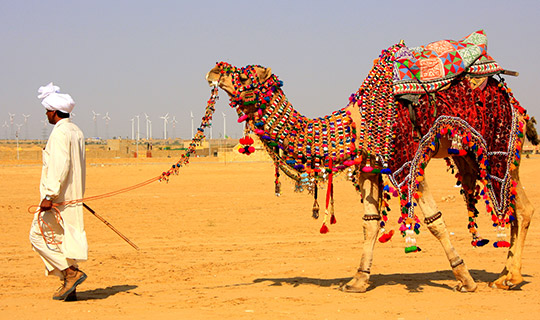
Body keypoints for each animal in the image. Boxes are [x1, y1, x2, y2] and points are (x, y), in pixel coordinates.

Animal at [202, 30, 536, 292]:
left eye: (242, 73)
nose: (213, 70)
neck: (353, 125)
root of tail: (519, 109)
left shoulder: (408, 161)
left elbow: (435, 222)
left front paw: (465, 279)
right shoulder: (369, 169)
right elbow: (370, 224)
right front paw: (358, 281)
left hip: (499, 151)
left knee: (522, 208)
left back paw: (511, 278)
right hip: (473, 157)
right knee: (513, 208)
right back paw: (505, 275)